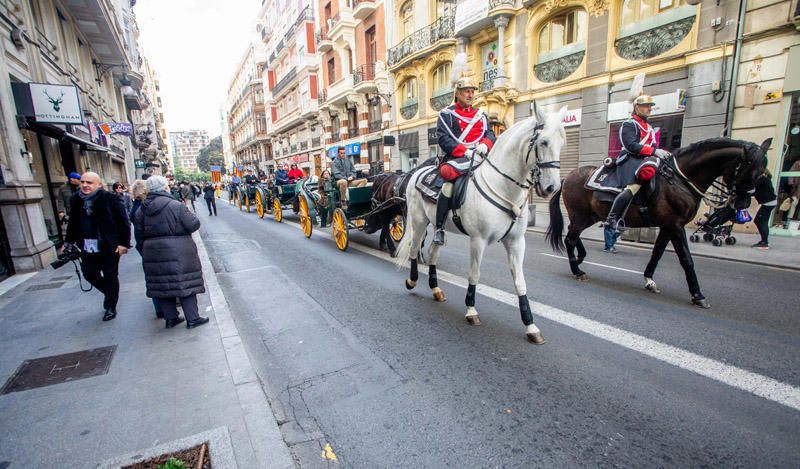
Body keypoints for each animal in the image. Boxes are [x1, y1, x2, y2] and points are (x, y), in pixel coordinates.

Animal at [396, 104, 564, 342]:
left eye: (562, 142)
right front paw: (471, 310)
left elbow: (520, 282)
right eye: (544, 142)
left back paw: (436, 289)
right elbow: (474, 273)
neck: (504, 187)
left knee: (432, 252)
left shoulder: (516, 242)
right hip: (419, 221)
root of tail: (416, 172)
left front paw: (530, 325)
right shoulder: (478, 240)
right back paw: (411, 280)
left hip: (438, 227)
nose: (552, 188)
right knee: (413, 249)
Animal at [548, 137, 772, 308]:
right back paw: (577, 270)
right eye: (747, 168)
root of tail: (567, 177)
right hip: (581, 215)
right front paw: (698, 295)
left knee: (572, 235)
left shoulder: (667, 226)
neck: (682, 179)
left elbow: (657, 254)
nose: (743, 204)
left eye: (762, 171)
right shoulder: (676, 225)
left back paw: (580, 259)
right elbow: (687, 259)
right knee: (570, 238)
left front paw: (649, 280)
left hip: (589, 216)